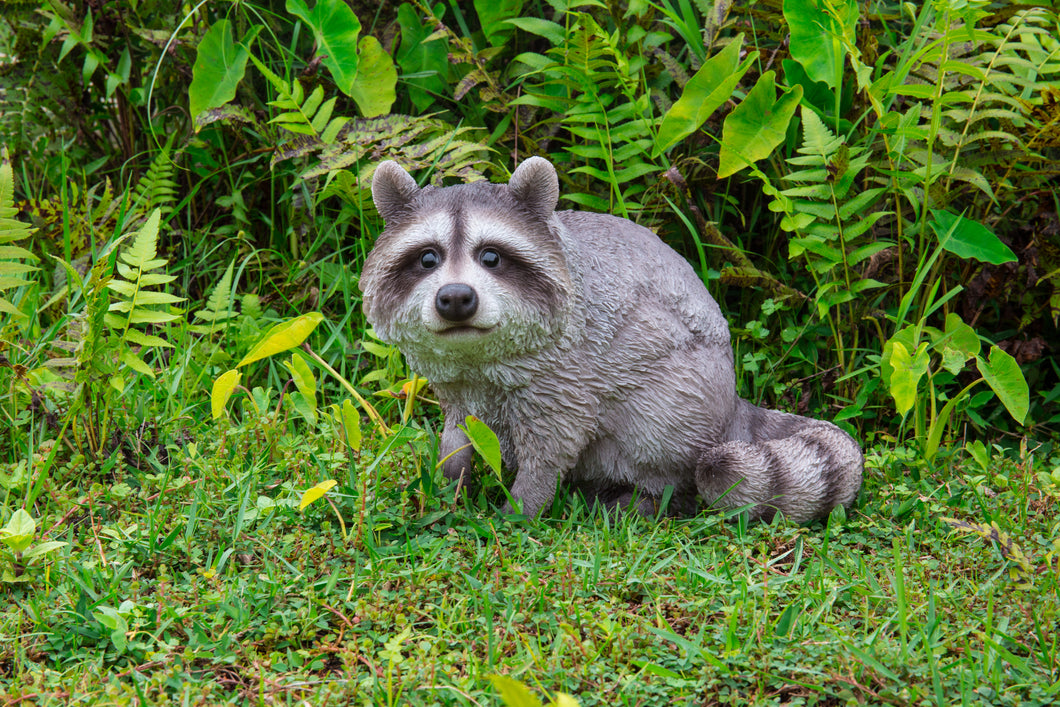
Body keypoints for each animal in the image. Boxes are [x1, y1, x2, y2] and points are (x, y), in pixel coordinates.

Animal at [360, 162, 864, 525]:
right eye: (428, 258)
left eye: (491, 257)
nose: (456, 299)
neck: (476, 355)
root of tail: (732, 403)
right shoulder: (455, 378)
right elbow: (458, 431)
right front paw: (448, 483)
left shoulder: (567, 372)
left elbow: (552, 446)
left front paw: (520, 508)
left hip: (685, 388)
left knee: (659, 429)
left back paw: (654, 496)